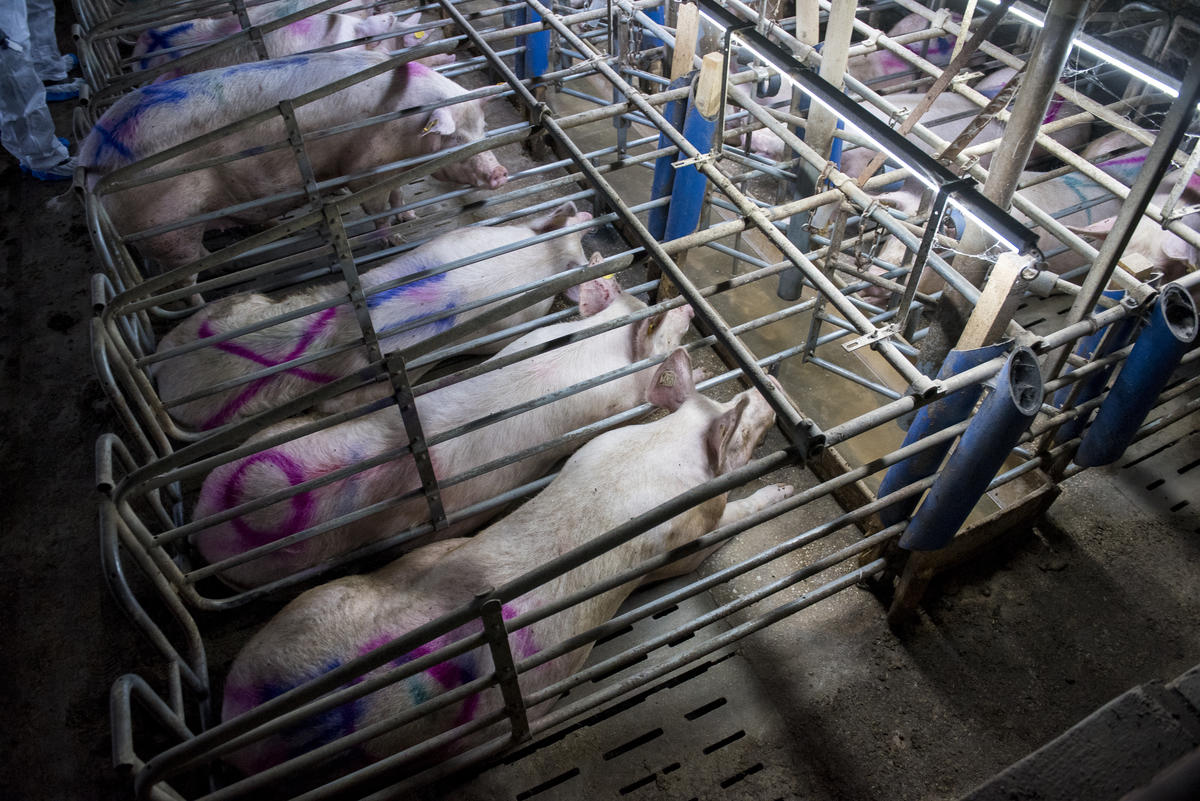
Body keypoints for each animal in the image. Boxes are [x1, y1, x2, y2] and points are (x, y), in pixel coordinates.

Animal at [78, 51, 511, 275]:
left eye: (482, 127)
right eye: (454, 137)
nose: (501, 172)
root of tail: (89, 161)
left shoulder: (395, 173)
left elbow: (399, 197)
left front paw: (409, 217)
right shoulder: (364, 170)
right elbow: (376, 211)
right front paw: (396, 239)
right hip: (167, 232)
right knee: (187, 283)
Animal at [220, 347, 792, 772]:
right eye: (741, 427)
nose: (769, 382)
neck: (657, 449)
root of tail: (258, 715)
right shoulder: (687, 535)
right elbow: (716, 533)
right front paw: (781, 491)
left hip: (318, 601)